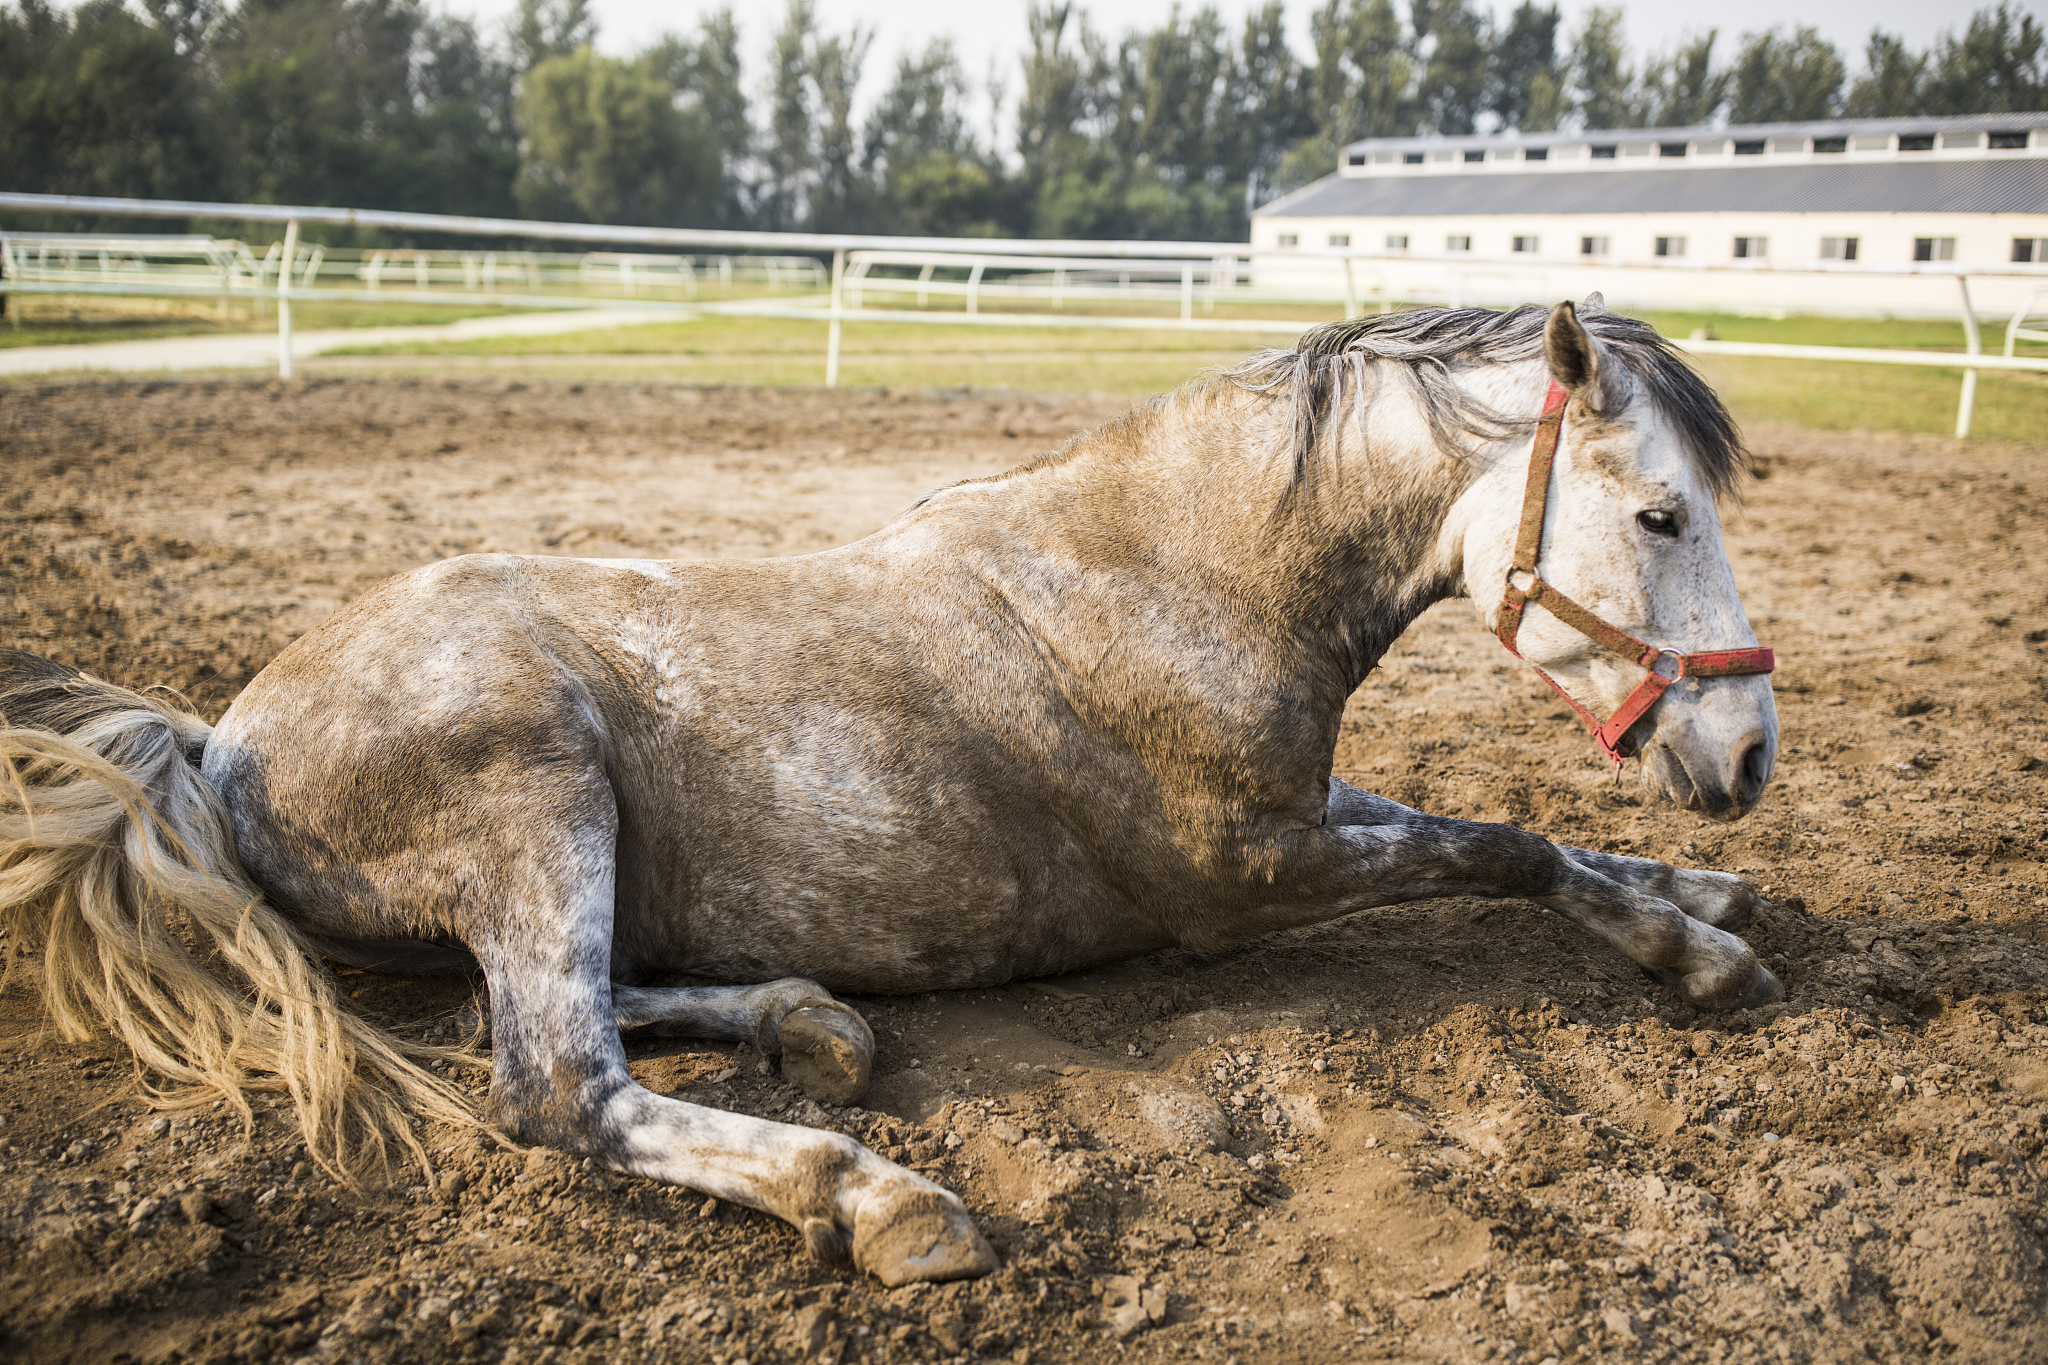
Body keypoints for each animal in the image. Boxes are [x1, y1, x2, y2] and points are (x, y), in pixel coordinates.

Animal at [0, 298, 1781, 1287]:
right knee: (555, 1081)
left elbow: (1502, 830)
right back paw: (876, 1196)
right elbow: (1499, 845)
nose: (1751, 755)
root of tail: (222, 742)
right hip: (539, 801)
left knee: (564, 1005)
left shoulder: (1305, 815)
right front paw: (1701, 956)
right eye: (1663, 514)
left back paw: (809, 1019)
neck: (1170, 570)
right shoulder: (1252, 871)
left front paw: (1702, 897)